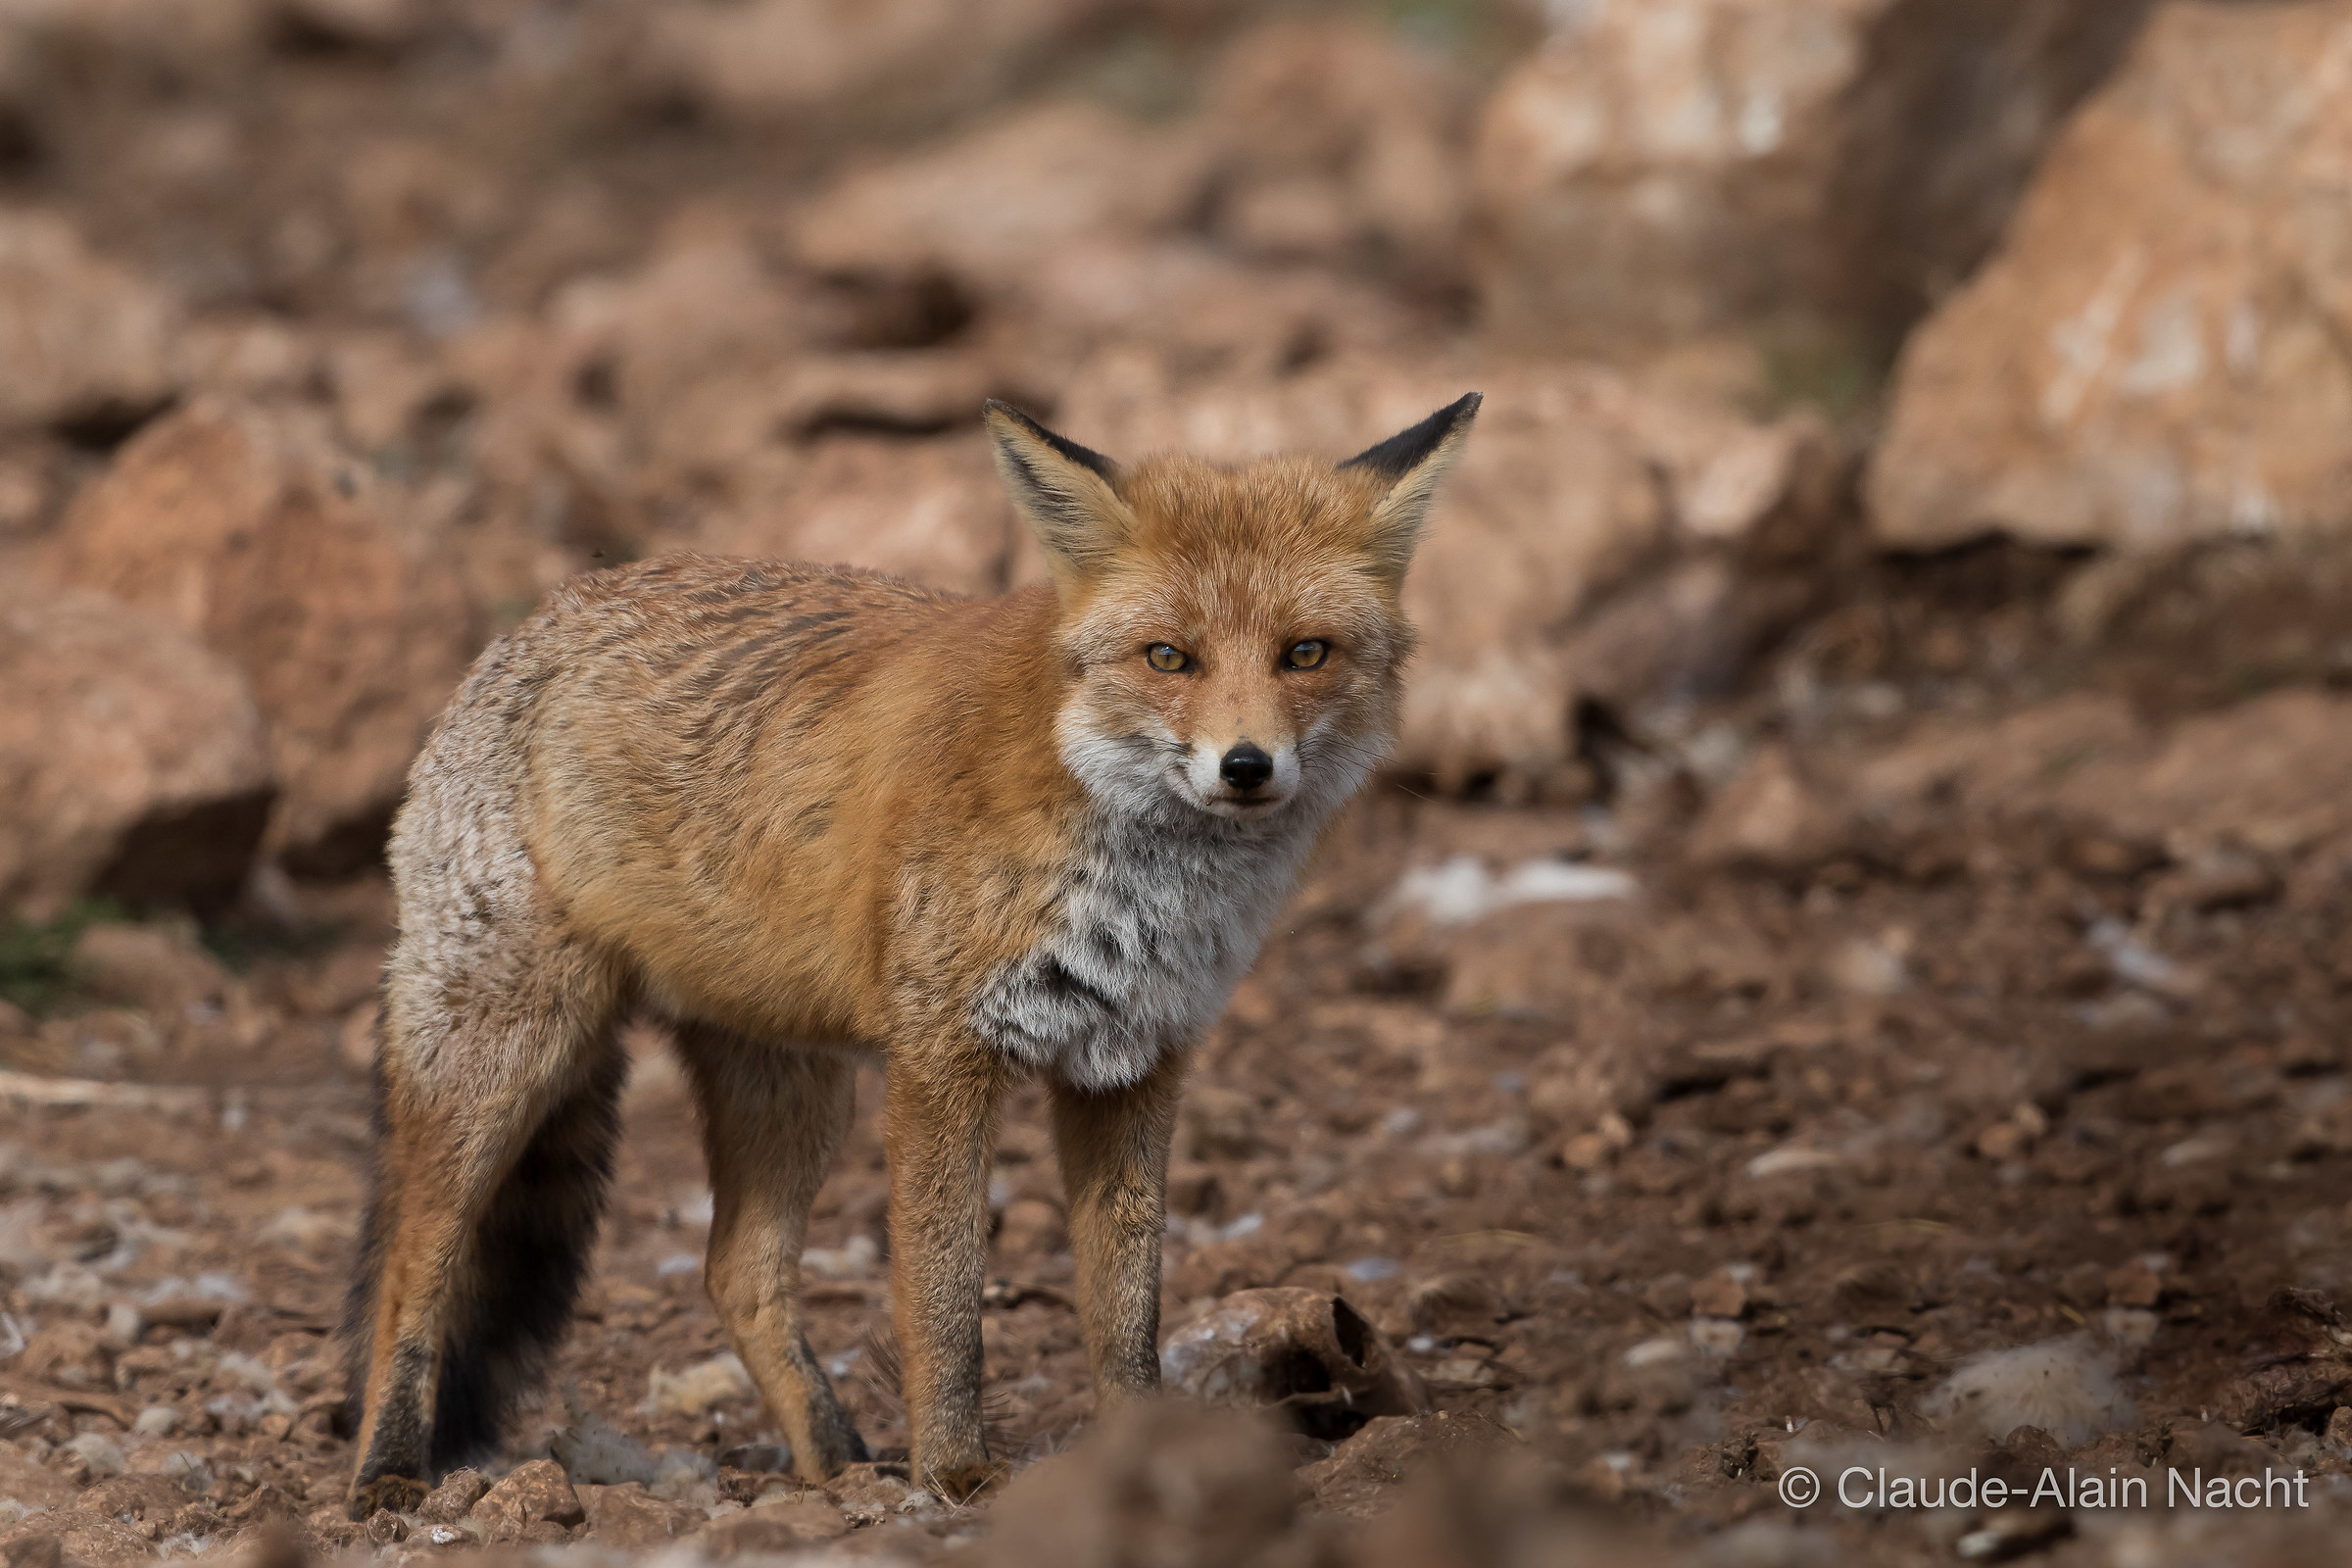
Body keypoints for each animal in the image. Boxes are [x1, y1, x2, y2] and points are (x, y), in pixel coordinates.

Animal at [340, 392, 1481, 1514]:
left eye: (1305, 653)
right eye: (1170, 657)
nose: (1246, 766)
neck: (1135, 867)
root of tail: (538, 619)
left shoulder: (1133, 1065)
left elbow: (1126, 1310)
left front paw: (1143, 1454)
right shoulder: (943, 1058)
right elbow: (945, 1301)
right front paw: (956, 1472)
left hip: (793, 1091)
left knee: (736, 1274)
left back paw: (835, 1462)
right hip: (508, 1055)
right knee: (411, 1263)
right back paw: (388, 1471)